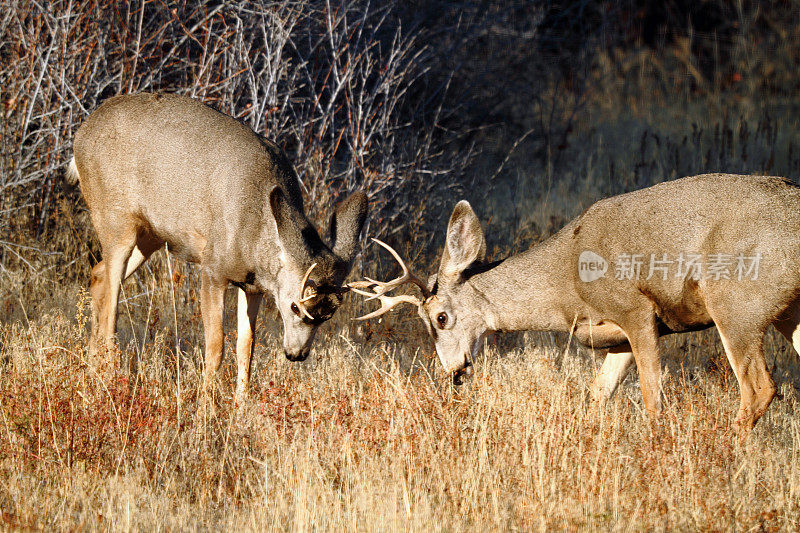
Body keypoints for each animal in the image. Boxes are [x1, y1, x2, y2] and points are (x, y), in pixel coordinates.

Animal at [69, 93, 368, 402]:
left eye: (329, 313)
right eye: (295, 306)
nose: (296, 354)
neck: (254, 235)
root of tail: (80, 135)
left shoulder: (254, 286)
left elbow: (246, 347)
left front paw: (240, 405)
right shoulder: (213, 268)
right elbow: (216, 346)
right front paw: (204, 405)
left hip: (149, 236)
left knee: (98, 276)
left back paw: (90, 371)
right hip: (115, 219)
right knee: (111, 309)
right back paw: (109, 380)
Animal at [352, 172, 800, 430]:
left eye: (441, 318)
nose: (454, 372)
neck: (566, 288)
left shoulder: (636, 311)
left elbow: (652, 398)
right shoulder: (617, 337)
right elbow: (597, 396)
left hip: (735, 300)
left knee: (760, 387)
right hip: (787, 311)